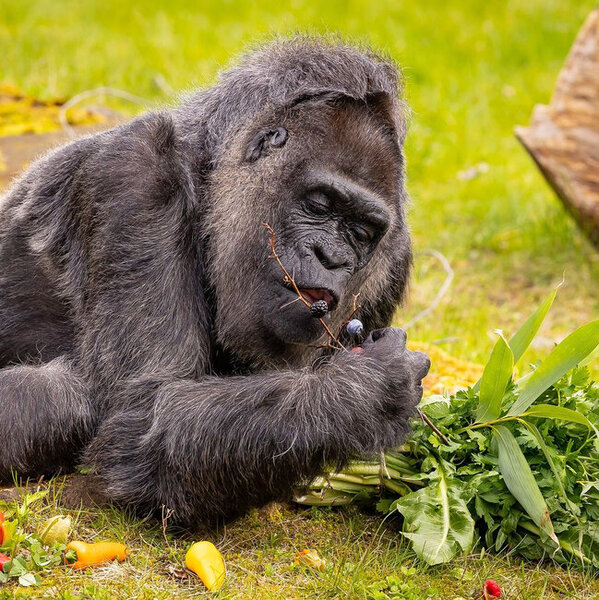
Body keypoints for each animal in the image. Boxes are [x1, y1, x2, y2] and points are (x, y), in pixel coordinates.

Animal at [0, 38, 432, 524]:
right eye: (320, 205)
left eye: (361, 232)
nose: (333, 258)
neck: (209, 181)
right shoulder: (133, 176)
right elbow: (142, 419)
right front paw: (366, 390)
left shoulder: (395, 256)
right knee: (64, 399)